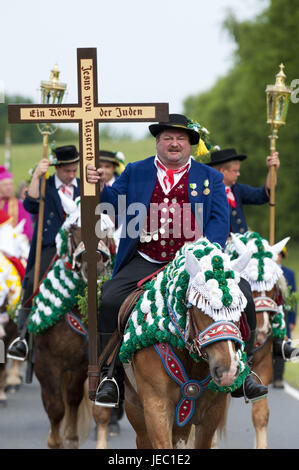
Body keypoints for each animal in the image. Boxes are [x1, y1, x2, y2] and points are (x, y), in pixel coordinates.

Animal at [27, 196, 115, 450]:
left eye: (106, 228)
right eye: (73, 229)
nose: (93, 266)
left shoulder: (87, 362)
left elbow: (95, 406)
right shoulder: (45, 362)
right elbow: (55, 407)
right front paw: (55, 441)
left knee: (74, 398)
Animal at [94, 237, 253, 450]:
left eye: (239, 309)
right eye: (199, 308)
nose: (227, 370)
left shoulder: (212, 414)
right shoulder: (156, 408)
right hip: (137, 411)